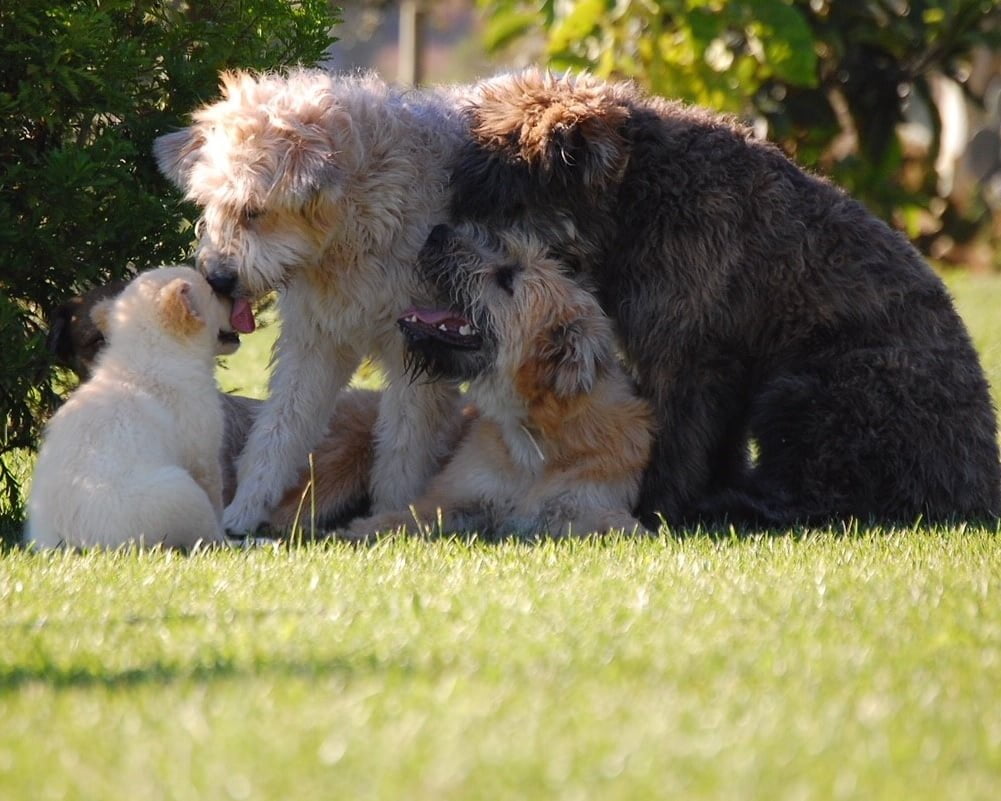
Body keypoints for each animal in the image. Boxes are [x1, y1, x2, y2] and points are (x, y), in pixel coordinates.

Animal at [25, 266, 238, 548]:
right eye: (213, 293)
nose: (232, 293)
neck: (149, 353)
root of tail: (70, 544)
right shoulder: (204, 459)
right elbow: (217, 508)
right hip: (182, 491)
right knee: (206, 535)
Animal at [344, 222, 656, 540]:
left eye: (507, 277)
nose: (439, 231)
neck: (534, 440)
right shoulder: (456, 496)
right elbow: (409, 516)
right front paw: (363, 528)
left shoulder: (581, 504)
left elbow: (618, 524)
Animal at [446, 69, 1001, 528]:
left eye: (495, 201)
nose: (442, 243)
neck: (639, 196)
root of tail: (980, 478)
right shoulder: (718, 367)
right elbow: (711, 447)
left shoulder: (683, 357)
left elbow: (673, 437)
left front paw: (656, 506)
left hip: (809, 391)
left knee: (822, 498)